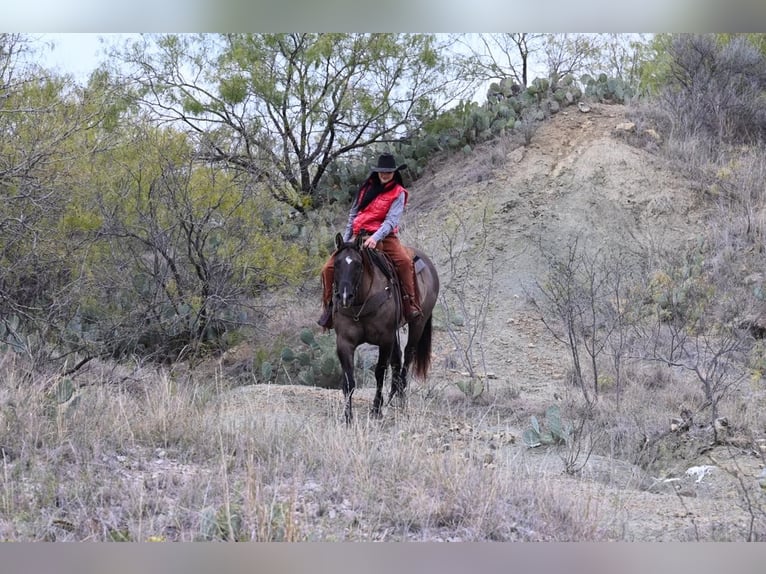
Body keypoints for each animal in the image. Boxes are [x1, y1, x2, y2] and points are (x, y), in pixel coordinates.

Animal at [332, 232, 444, 426]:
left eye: (358, 264)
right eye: (337, 263)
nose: (345, 296)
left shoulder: (384, 339)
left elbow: (379, 372)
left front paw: (376, 409)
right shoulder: (344, 342)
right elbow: (349, 379)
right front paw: (348, 416)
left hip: (417, 323)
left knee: (408, 356)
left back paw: (400, 397)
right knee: (397, 360)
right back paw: (393, 394)